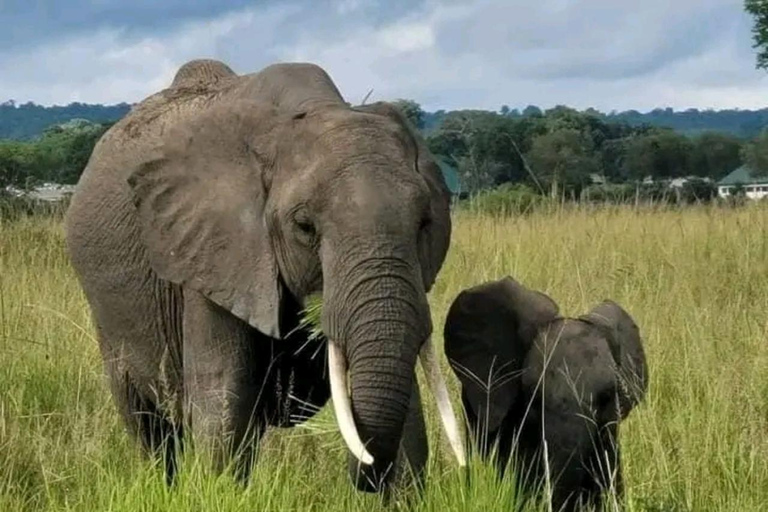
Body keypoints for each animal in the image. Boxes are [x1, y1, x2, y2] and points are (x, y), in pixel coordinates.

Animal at [64, 59, 462, 492]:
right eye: (304, 226)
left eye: (425, 223)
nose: (365, 469)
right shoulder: (213, 252)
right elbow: (223, 399)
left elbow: (410, 412)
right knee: (148, 423)